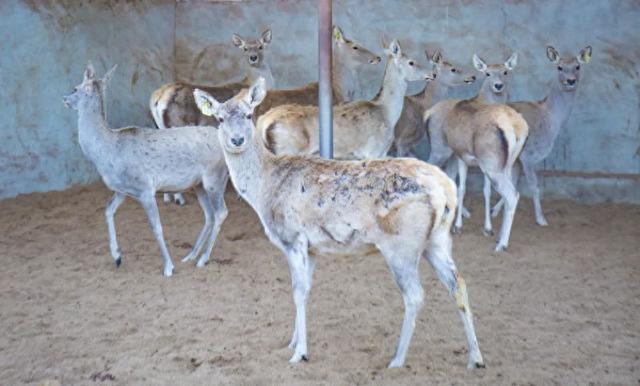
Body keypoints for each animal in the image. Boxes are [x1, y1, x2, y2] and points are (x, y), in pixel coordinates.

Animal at [62, 63, 231, 276]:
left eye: (76, 88)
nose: (65, 99)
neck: (108, 154)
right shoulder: (122, 190)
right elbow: (107, 211)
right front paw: (117, 257)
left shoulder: (145, 188)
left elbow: (156, 226)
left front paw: (168, 267)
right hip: (198, 184)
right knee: (209, 214)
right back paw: (190, 255)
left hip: (214, 177)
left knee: (221, 212)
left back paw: (203, 258)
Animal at [192, 77, 482, 370]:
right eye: (219, 118)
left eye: (249, 114)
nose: (237, 139)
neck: (264, 189)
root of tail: (446, 189)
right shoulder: (312, 247)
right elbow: (307, 290)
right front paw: (293, 342)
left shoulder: (292, 237)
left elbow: (297, 291)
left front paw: (299, 353)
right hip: (438, 239)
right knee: (458, 284)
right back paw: (475, 358)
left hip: (401, 243)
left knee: (415, 295)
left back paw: (397, 360)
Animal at [258, 39, 436, 160]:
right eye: (411, 62)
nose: (433, 74)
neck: (387, 113)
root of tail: (264, 124)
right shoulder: (374, 150)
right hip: (288, 149)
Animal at [422, 52, 528, 250]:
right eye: (487, 73)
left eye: (505, 71)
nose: (498, 85)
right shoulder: (471, 160)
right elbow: (475, 189)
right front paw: (482, 227)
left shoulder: (468, 159)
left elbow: (466, 187)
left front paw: (473, 227)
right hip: (495, 163)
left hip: (488, 165)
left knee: (512, 195)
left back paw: (501, 244)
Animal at [490, 45, 596, 226]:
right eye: (559, 67)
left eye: (578, 66)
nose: (570, 81)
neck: (551, 119)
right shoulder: (529, 155)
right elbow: (533, 185)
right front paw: (541, 219)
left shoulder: (517, 159)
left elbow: (514, 183)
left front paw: (495, 210)